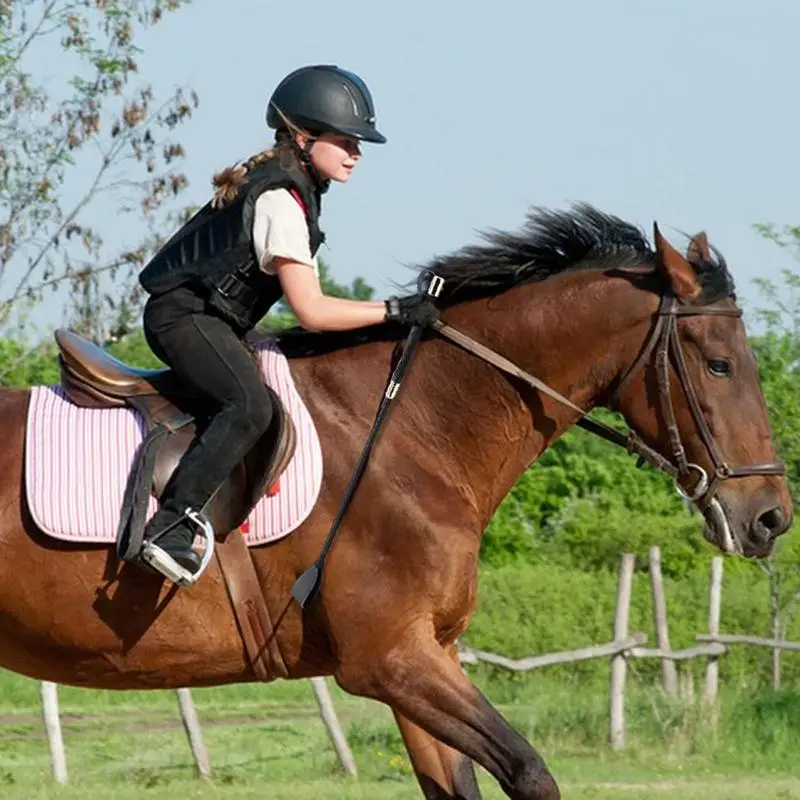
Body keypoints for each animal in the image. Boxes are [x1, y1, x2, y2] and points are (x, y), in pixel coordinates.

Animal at [0, 206, 792, 800]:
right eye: (719, 364)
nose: (770, 517)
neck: (416, 431)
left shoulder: (426, 655)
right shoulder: (390, 660)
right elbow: (530, 773)